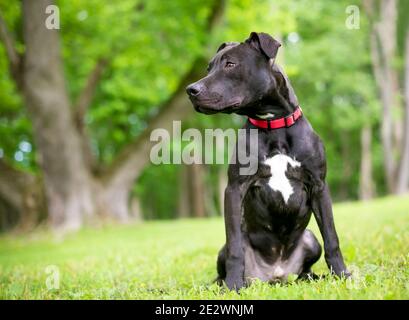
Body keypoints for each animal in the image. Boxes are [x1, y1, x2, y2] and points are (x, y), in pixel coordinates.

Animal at [185, 31, 348, 290]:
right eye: (209, 67)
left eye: (230, 64)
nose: (191, 89)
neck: (273, 124)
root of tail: (276, 275)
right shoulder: (235, 188)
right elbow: (235, 248)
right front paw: (233, 286)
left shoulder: (319, 186)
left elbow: (332, 237)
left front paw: (343, 275)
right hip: (230, 249)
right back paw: (230, 283)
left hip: (310, 239)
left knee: (306, 268)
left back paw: (312, 276)